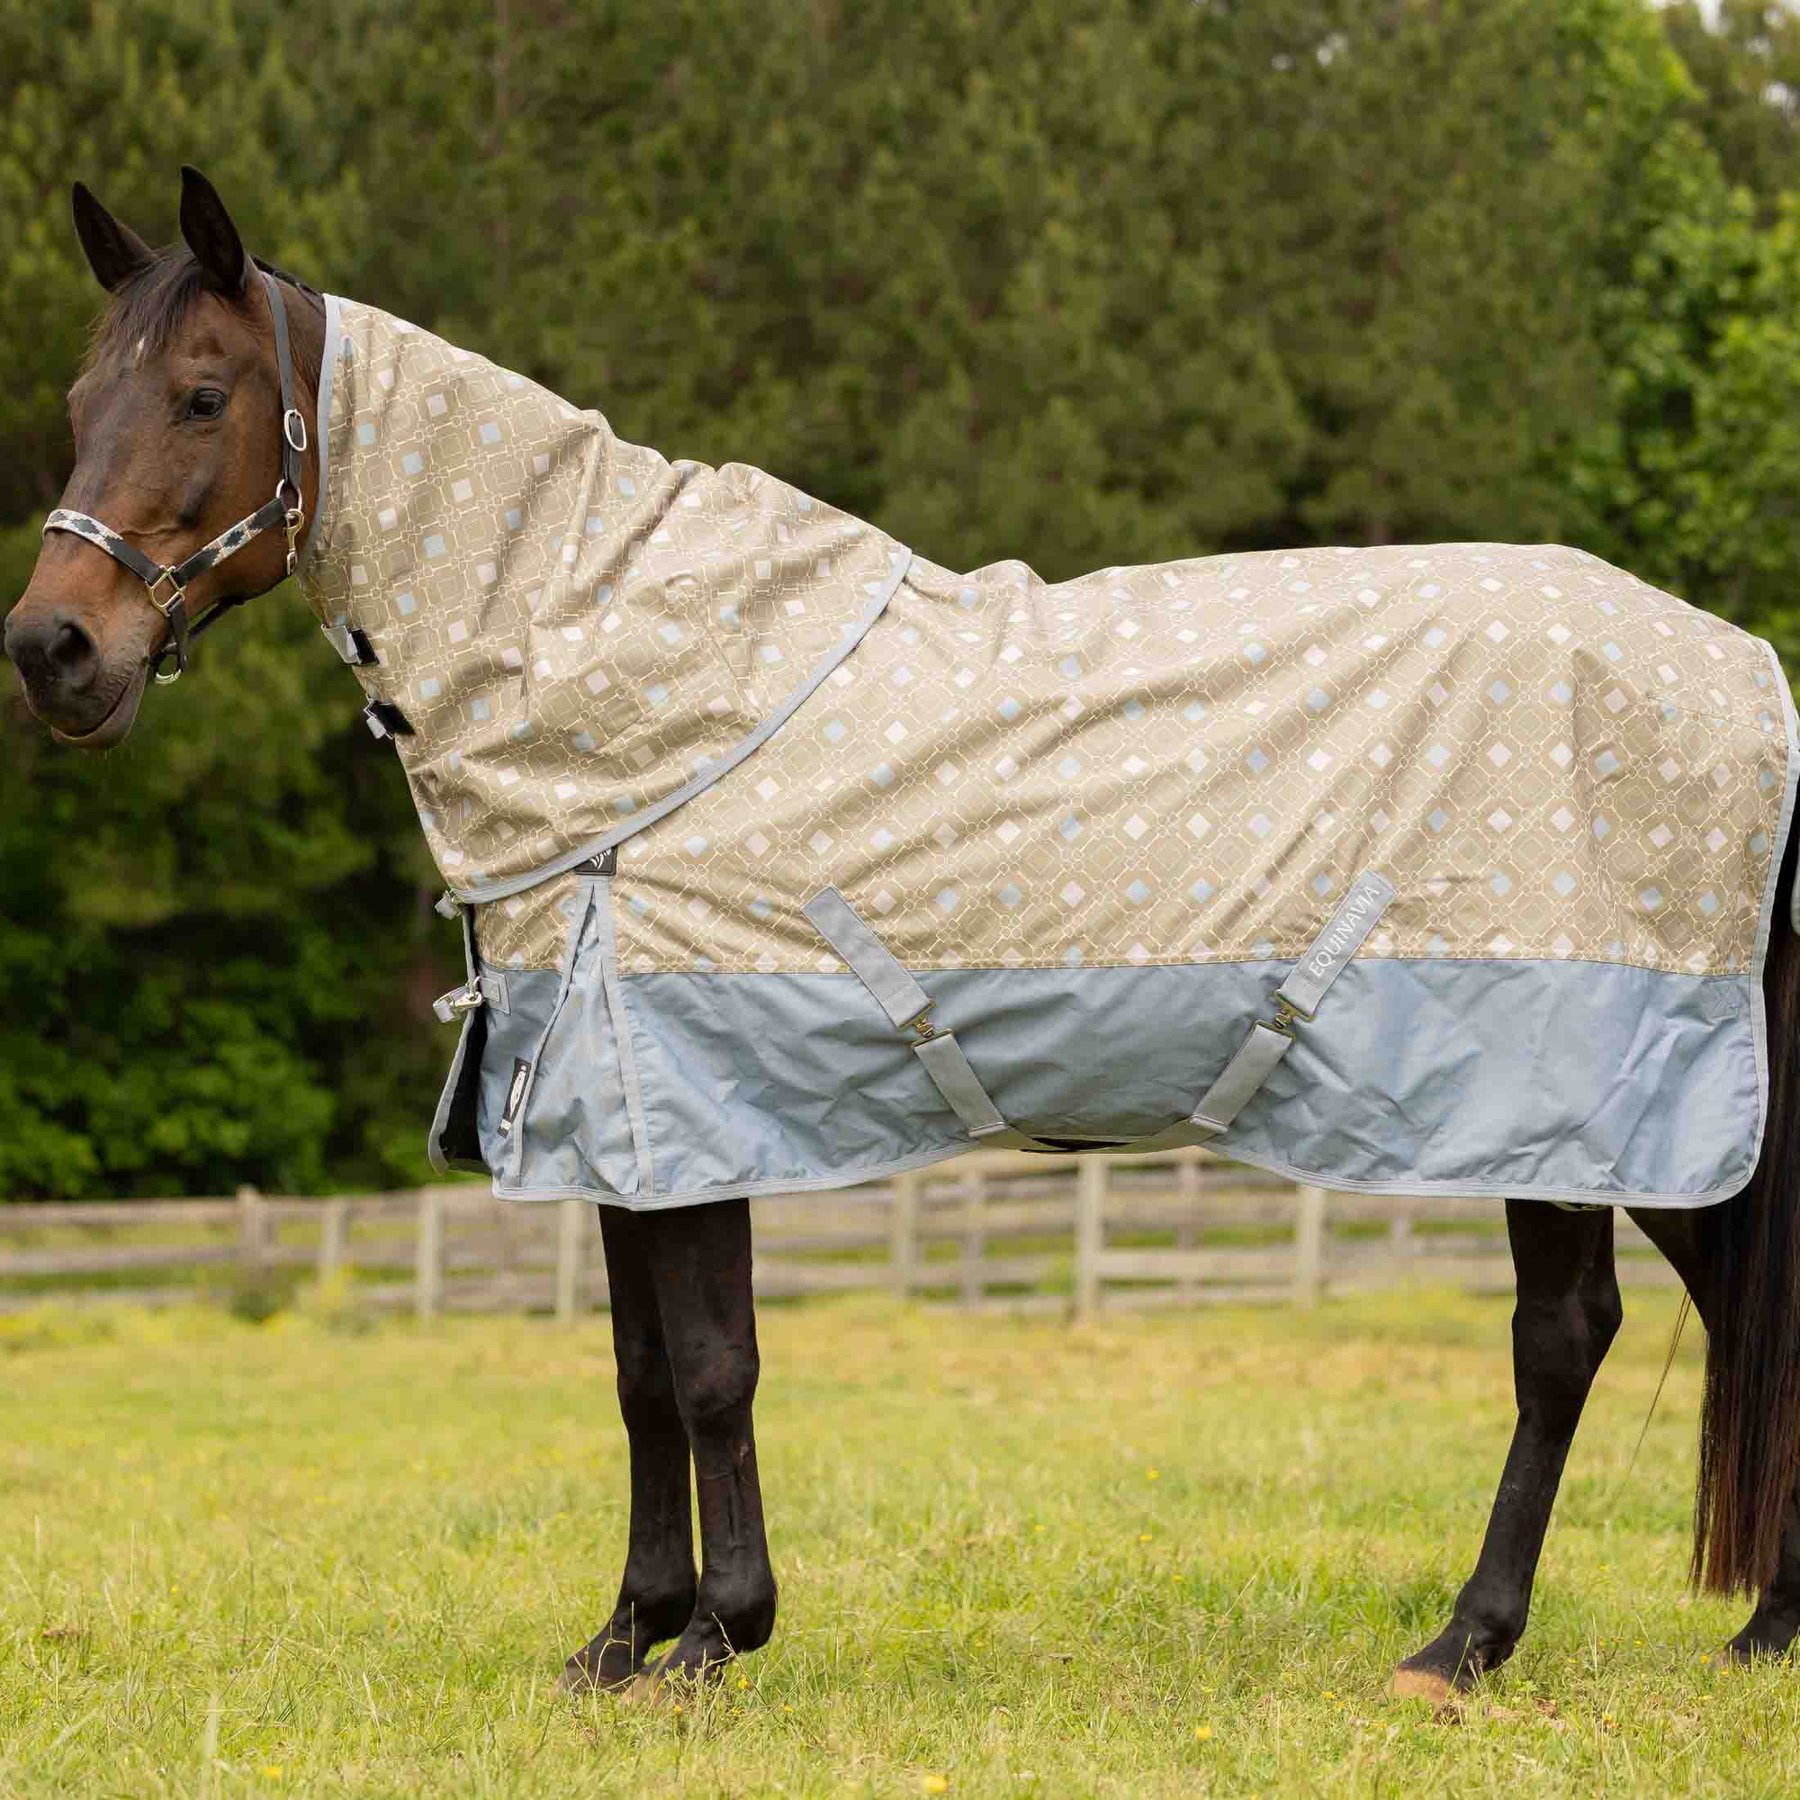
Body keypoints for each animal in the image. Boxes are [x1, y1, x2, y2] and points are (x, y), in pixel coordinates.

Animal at [7, 167, 1800, 1704]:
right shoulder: (612, 1110)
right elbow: (639, 1374)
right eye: (82, 409)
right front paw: (623, 1639)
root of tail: (1738, 664)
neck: (626, 691)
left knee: (1564, 1342)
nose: (53, 651)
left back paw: (1465, 1644)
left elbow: (713, 1365)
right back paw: (1762, 1634)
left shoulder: (691, 1094)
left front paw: (716, 1642)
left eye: (203, 395)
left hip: (1560, 1104)